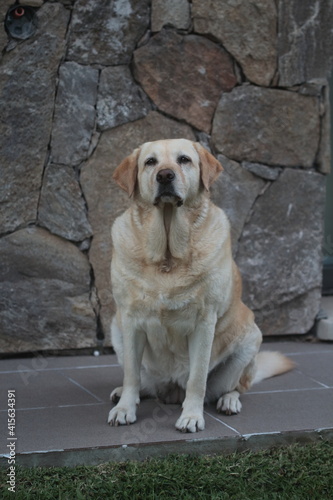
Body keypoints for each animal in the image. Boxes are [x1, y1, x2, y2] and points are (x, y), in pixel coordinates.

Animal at [107, 139, 292, 432]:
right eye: (150, 162)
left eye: (184, 159)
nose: (165, 176)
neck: (168, 255)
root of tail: (171, 390)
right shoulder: (130, 319)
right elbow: (131, 376)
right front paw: (125, 409)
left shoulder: (204, 322)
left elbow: (197, 378)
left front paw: (192, 416)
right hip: (117, 329)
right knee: (143, 382)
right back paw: (125, 394)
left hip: (250, 339)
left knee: (234, 386)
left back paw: (229, 401)